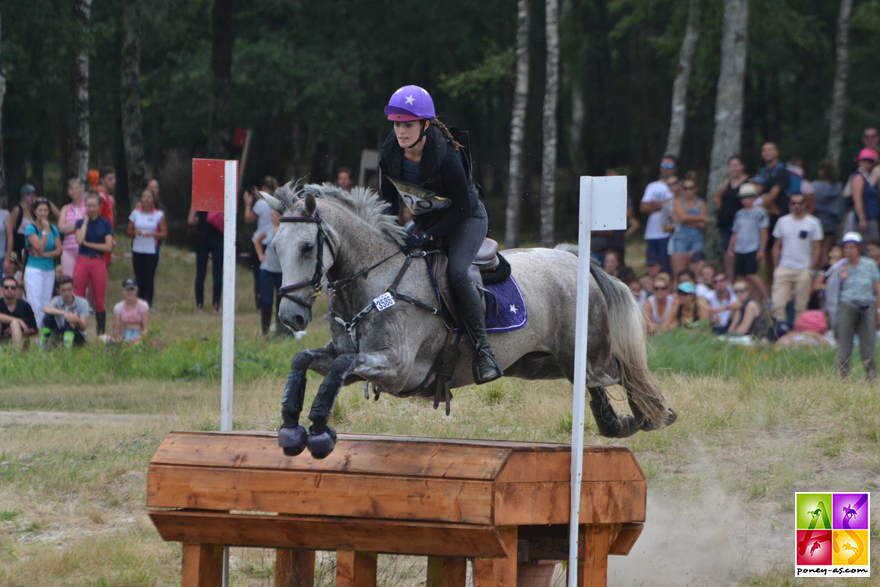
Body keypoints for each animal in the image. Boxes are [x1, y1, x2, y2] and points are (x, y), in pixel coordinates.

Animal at [264, 184, 676, 460]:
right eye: (274, 247)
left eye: (307, 247)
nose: (290, 317)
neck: (372, 281)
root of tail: (569, 256)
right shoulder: (348, 358)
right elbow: (305, 360)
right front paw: (290, 426)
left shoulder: (396, 367)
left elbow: (338, 369)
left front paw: (318, 429)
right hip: (541, 364)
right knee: (596, 384)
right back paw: (616, 423)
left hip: (587, 353)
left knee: (624, 371)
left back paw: (652, 415)